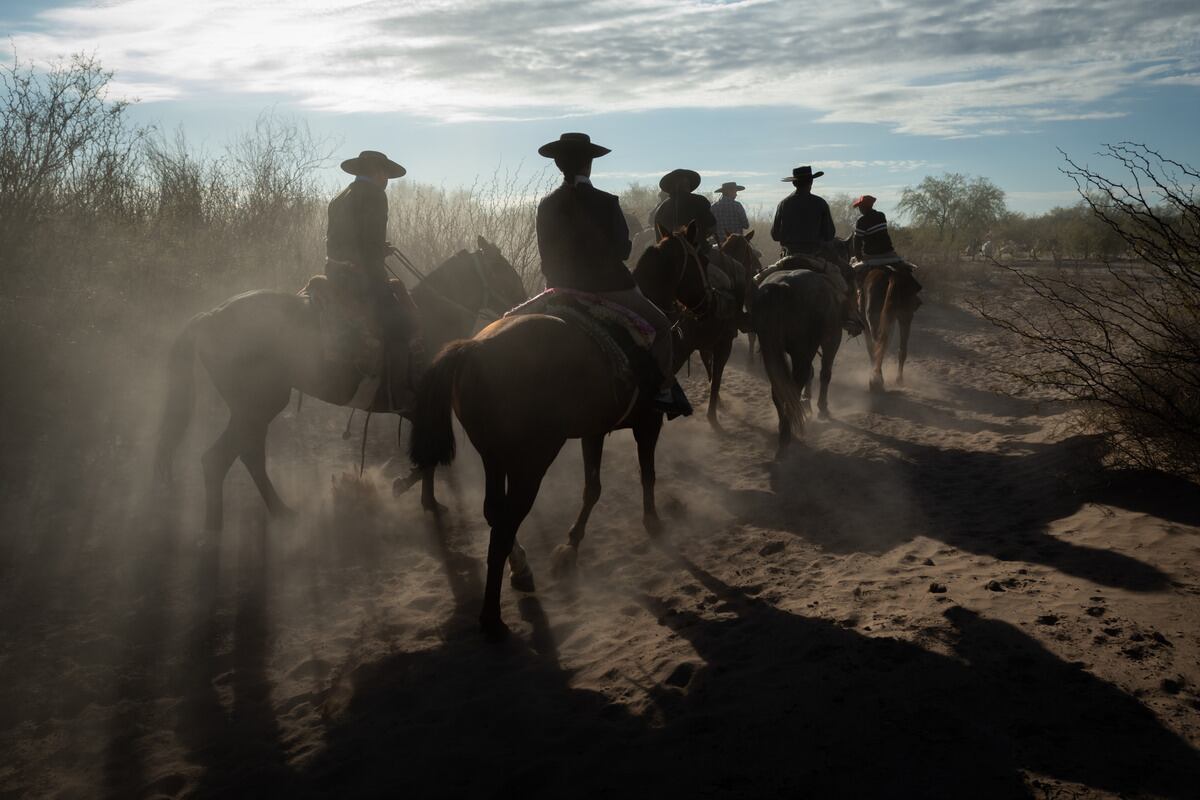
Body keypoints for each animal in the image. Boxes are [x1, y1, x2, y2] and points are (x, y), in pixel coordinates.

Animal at [152, 237, 528, 532]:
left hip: (253, 410)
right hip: (258, 406)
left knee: (242, 456)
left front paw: (422, 498)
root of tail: (211, 315)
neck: (431, 317)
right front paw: (414, 494)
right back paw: (225, 527)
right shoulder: (424, 410)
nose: (522, 306)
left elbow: (427, 461)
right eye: (504, 271)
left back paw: (273, 513)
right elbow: (428, 459)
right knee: (224, 458)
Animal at [412, 221, 710, 642]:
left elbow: (592, 487)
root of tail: (475, 349)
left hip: (494, 455)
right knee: (505, 521)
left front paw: (570, 549)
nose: (708, 302)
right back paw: (493, 615)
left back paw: (520, 571)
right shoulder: (648, 423)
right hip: (532, 459)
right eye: (701, 259)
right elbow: (647, 474)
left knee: (494, 512)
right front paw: (653, 524)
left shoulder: (593, 432)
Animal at [748, 267, 844, 460]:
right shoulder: (832, 339)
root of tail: (782, 287)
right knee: (796, 384)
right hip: (804, 350)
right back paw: (787, 436)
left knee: (780, 389)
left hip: (771, 348)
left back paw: (784, 429)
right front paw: (822, 408)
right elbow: (825, 374)